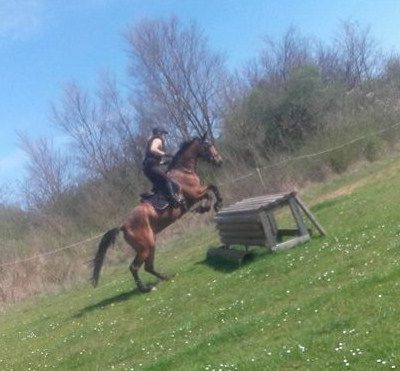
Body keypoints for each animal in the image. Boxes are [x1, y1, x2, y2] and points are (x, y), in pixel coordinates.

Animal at [89, 134, 223, 294]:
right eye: (208, 145)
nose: (219, 161)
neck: (184, 171)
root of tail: (123, 226)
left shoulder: (197, 193)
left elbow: (211, 189)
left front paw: (212, 205)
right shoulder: (195, 194)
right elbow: (211, 189)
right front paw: (211, 206)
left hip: (151, 243)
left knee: (148, 266)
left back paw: (166, 277)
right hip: (144, 247)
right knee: (134, 267)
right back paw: (145, 288)